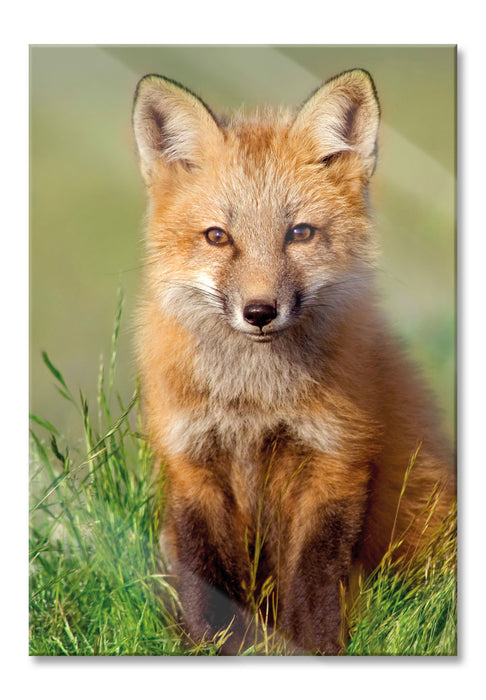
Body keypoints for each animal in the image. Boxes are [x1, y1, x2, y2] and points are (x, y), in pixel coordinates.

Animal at [132, 68, 455, 655]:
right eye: (218, 237)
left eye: (299, 233)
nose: (260, 312)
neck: (253, 402)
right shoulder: (191, 463)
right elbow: (204, 582)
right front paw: (212, 648)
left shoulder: (336, 459)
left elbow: (314, 581)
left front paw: (315, 651)